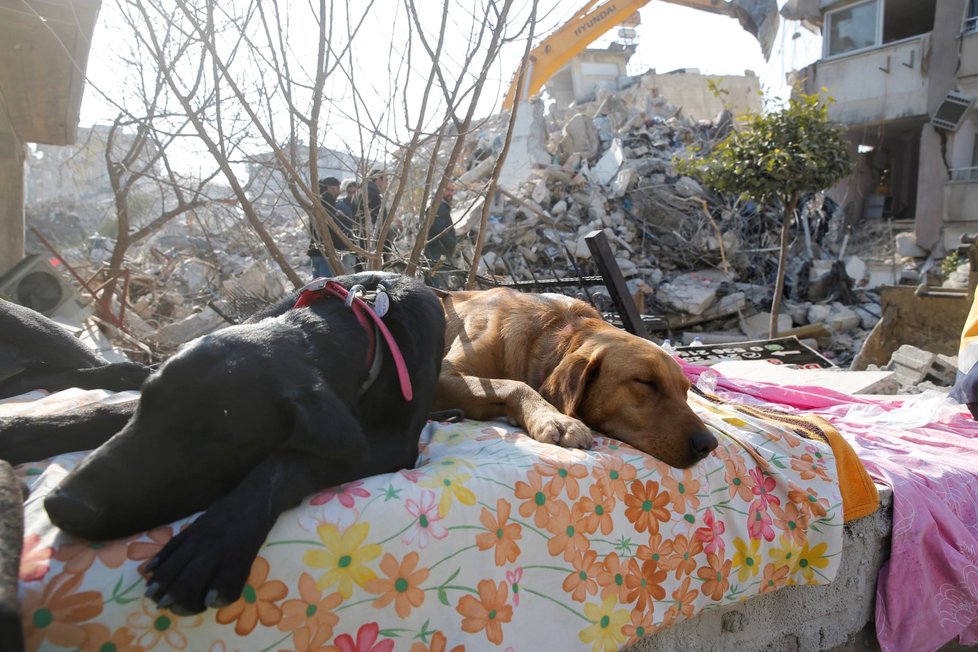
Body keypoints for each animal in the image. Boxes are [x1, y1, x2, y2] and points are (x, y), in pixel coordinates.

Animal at [2, 272, 442, 616]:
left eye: (215, 442)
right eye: (146, 406)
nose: (62, 504)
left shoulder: (393, 447)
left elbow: (285, 463)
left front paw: (211, 545)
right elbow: (95, 414)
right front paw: (18, 431)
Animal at [434, 288, 716, 466]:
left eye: (686, 390)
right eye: (646, 382)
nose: (709, 445)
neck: (551, 331)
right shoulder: (442, 377)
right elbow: (514, 384)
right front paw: (556, 418)